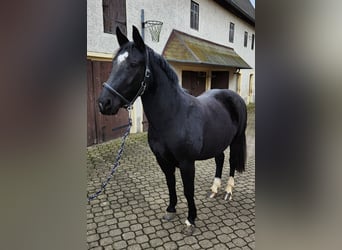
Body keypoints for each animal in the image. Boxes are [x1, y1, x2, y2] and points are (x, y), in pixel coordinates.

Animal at [97, 26, 247, 235]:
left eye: (133, 64)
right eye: (113, 63)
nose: (104, 103)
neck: (173, 115)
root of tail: (234, 96)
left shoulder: (186, 163)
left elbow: (188, 190)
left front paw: (190, 220)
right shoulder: (162, 160)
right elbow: (170, 183)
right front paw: (171, 209)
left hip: (236, 140)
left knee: (232, 161)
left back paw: (228, 191)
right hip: (218, 142)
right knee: (220, 159)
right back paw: (214, 189)